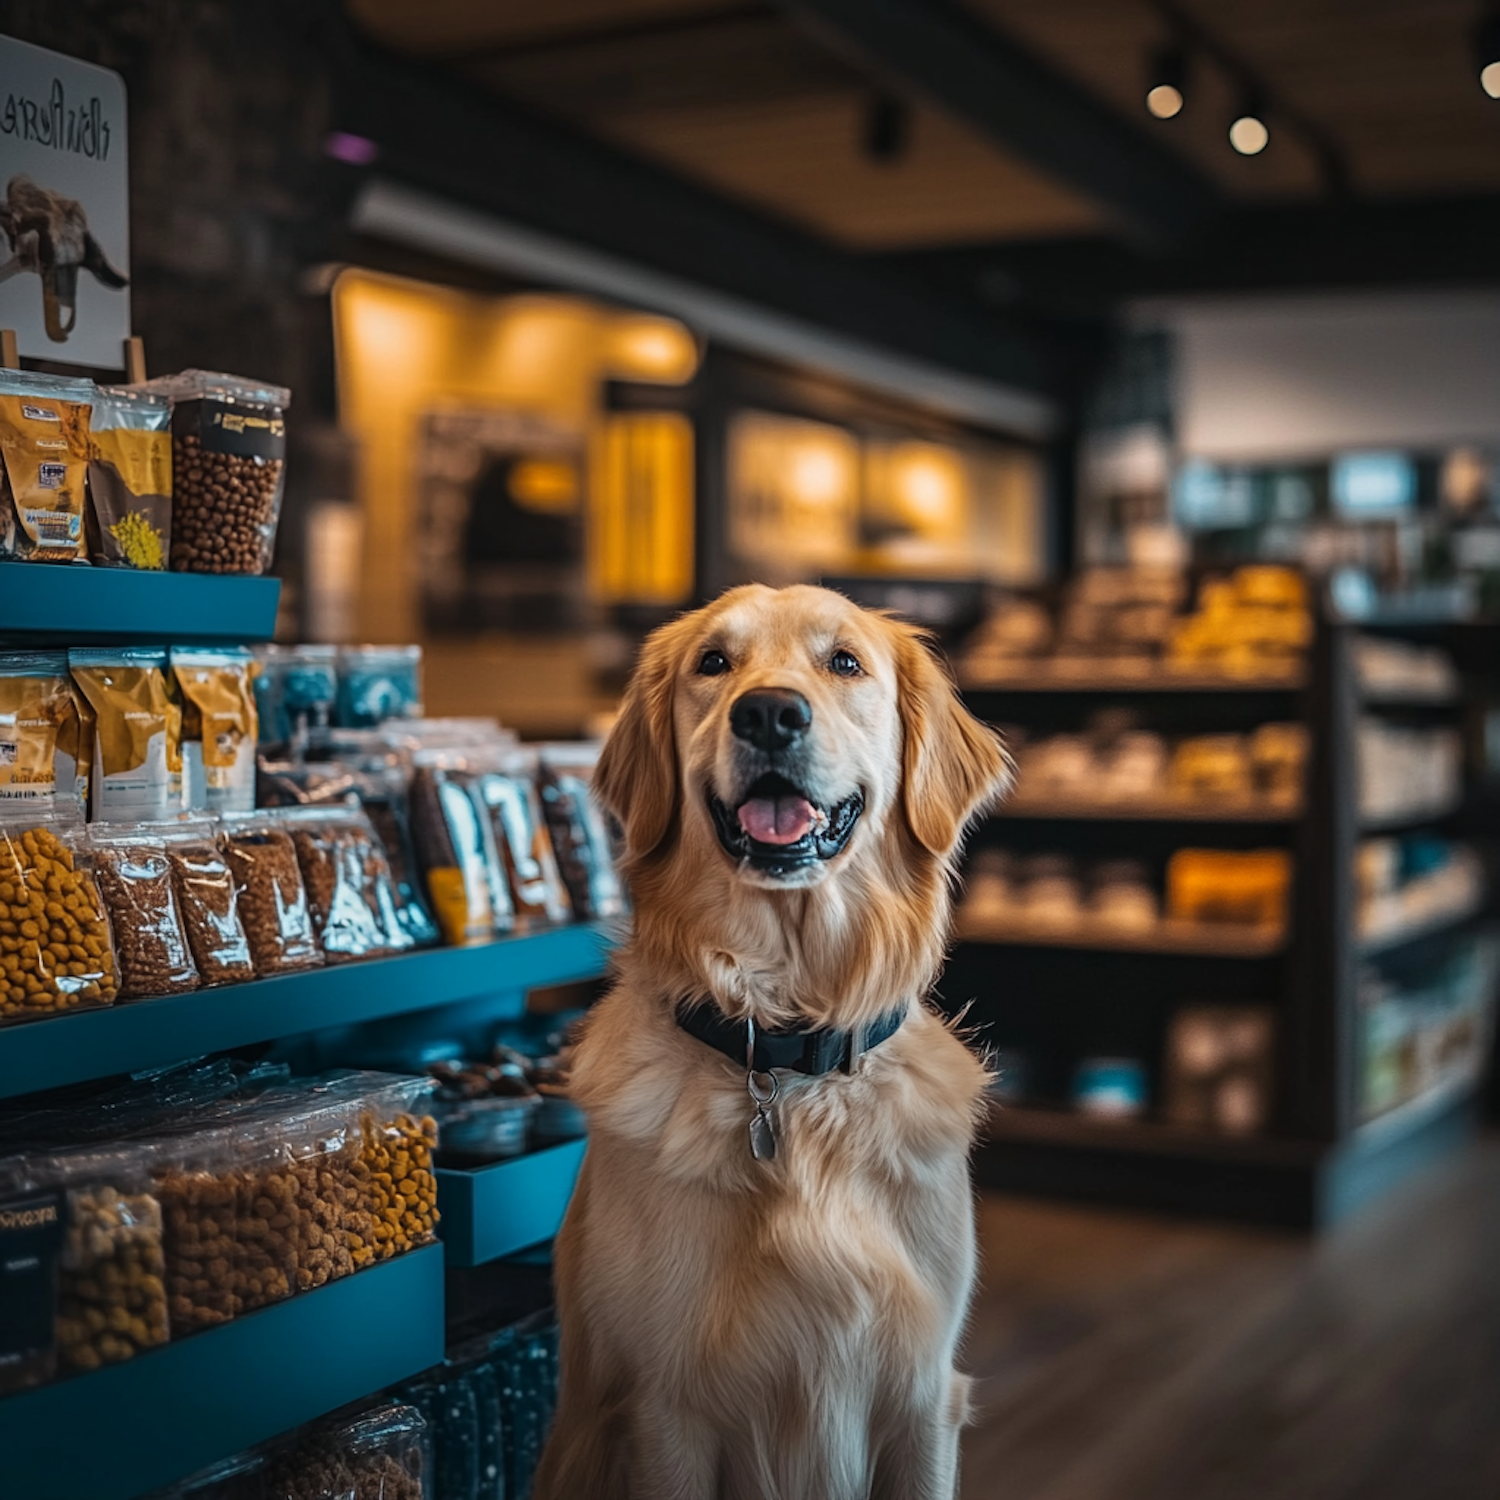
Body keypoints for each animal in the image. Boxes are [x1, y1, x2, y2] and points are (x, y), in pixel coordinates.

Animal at [534, 579, 1014, 1494]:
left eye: (846, 663)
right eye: (713, 662)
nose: (768, 714)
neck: (789, 1057)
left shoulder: (924, 1397)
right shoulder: (666, 1411)